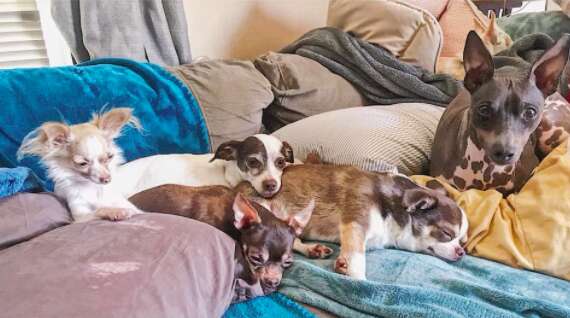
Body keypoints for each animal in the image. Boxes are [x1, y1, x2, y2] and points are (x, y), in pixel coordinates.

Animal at [239, 165, 466, 280]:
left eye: (463, 242)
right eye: (447, 234)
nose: (461, 252)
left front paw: (342, 265)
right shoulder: (355, 223)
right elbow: (357, 258)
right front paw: (358, 278)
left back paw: (313, 249)